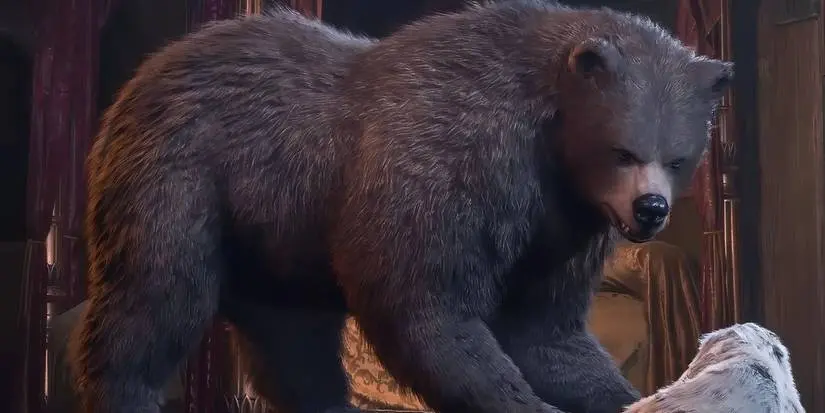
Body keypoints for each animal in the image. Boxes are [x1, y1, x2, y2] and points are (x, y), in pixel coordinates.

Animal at [67, 1, 734, 413]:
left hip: (278, 243)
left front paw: (631, 391)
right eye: (623, 150)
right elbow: (425, 303)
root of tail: (147, 71)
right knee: (153, 299)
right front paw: (519, 398)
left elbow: (546, 327)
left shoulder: (562, 226)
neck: (549, 147)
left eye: (678, 156)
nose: (650, 209)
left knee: (293, 340)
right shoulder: (448, 162)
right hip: (180, 180)